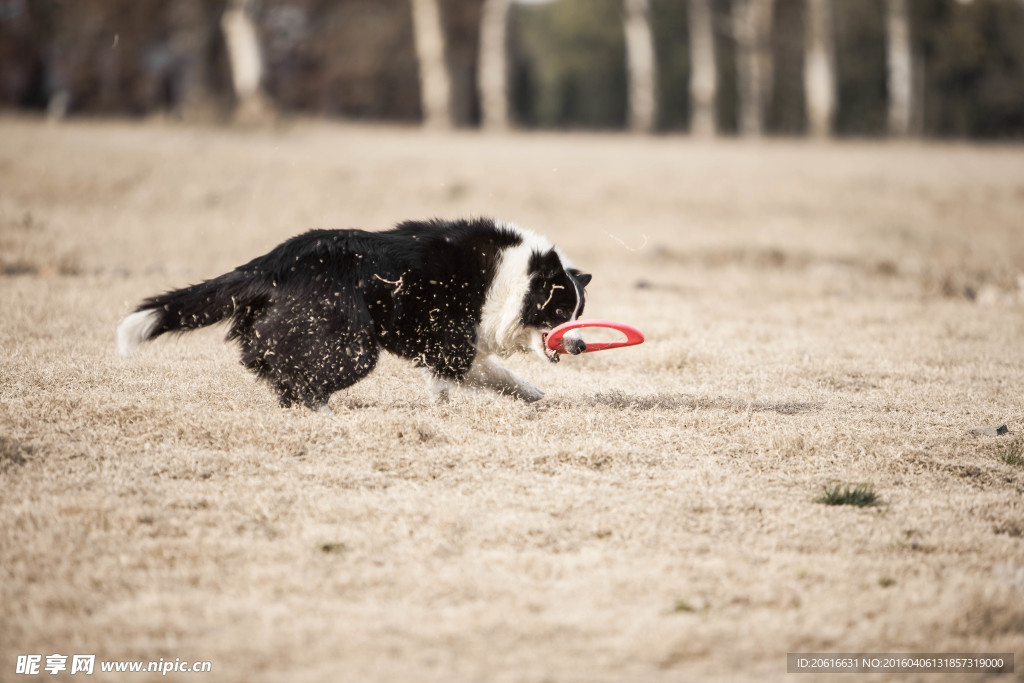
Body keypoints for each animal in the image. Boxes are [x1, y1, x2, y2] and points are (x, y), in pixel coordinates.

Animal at [116, 219, 589, 411]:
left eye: (579, 312)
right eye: (560, 310)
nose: (582, 343)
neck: (511, 276)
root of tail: (268, 265)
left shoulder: (443, 345)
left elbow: (468, 378)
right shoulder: (448, 339)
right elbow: (475, 372)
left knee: (271, 364)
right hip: (352, 343)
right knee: (304, 376)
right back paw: (322, 411)